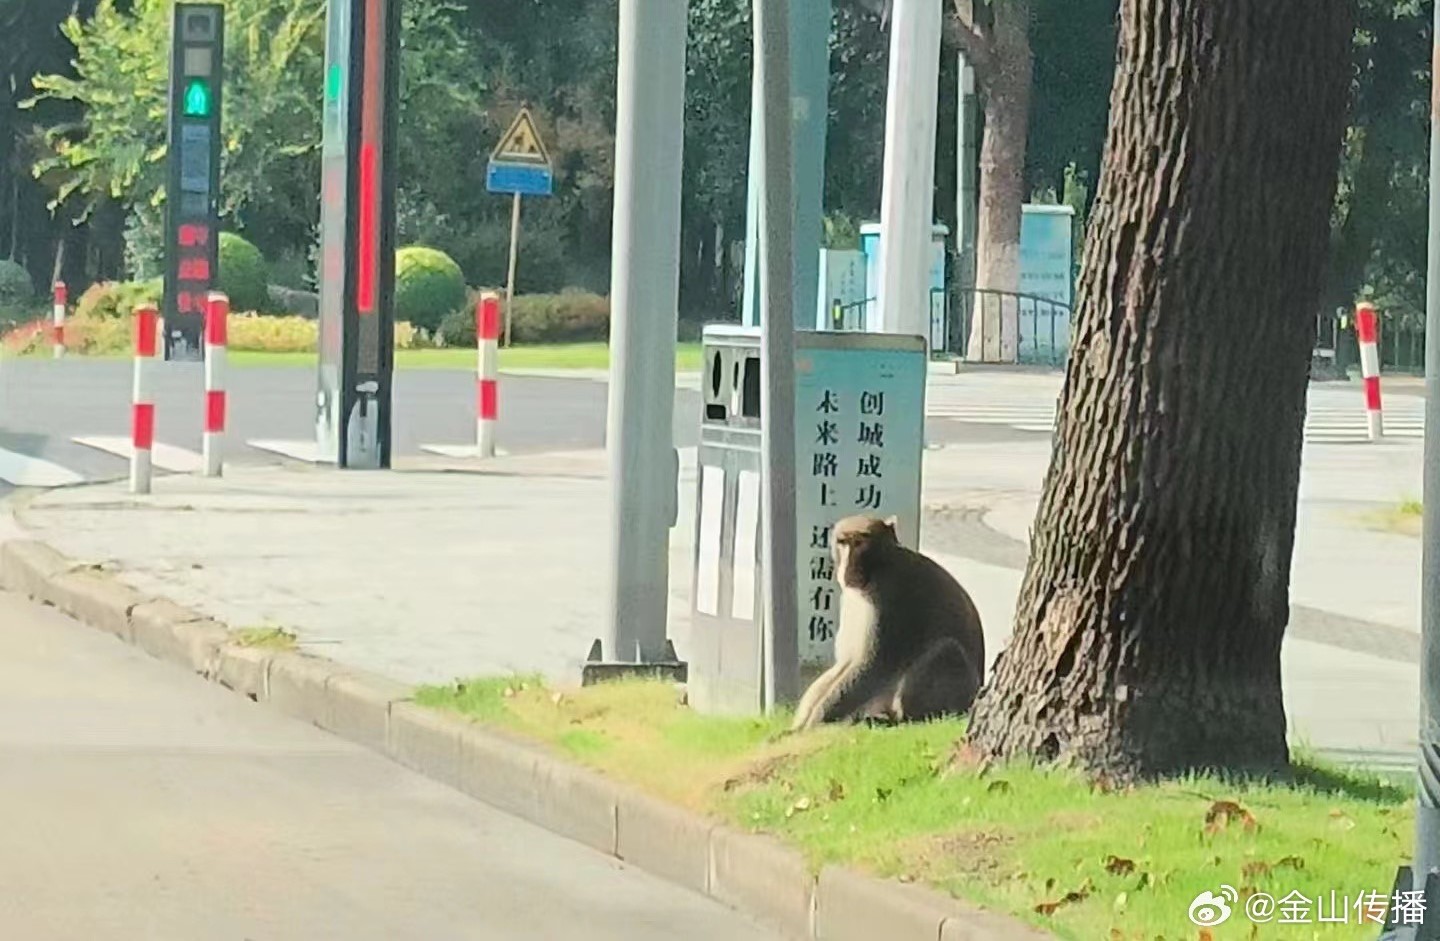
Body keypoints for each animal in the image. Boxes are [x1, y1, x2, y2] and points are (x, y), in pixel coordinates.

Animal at [794, 513, 984, 726]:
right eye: (842, 543)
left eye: (859, 543)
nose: (848, 568)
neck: (881, 564)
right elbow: (847, 662)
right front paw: (800, 721)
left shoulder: (891, 594)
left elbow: (875, 666)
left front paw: (814, 723)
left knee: (947, 650)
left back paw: (905, 718)